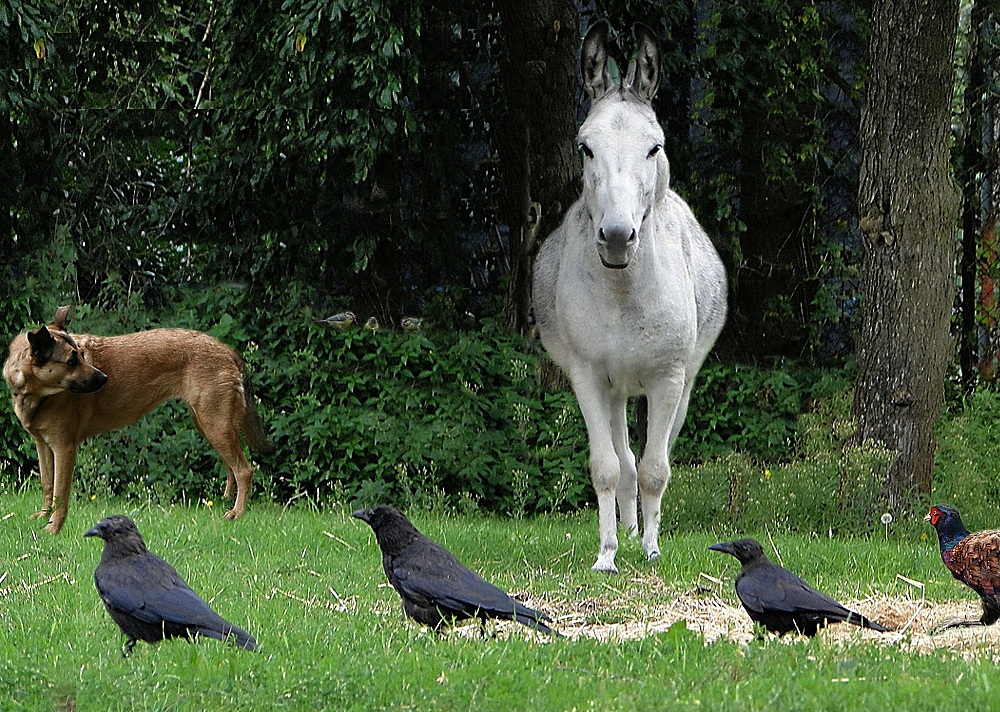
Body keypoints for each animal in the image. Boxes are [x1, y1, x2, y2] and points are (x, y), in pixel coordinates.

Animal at [2, 306, 274, 536]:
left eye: (81, 356)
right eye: (71, 361)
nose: (104, 378)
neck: (35, 393)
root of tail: (229, 351)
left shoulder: (64, 447)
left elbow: (61, 493)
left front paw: (53, 528)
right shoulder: (43, 444)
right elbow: (48, 486)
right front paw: (42, 517)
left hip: (214, 424)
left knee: (245, 469)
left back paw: (237, 513)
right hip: (209, 424)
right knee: (232, 467)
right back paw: (227, 502)